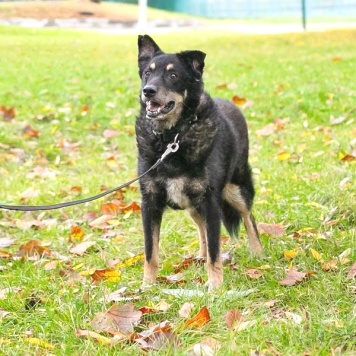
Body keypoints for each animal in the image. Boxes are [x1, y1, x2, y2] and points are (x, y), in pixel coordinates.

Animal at [135, 34, 262, 290]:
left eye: (173, 75)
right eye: (147, 73)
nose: (148, 91)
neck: (172, 138)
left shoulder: (210, 201)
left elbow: (215, 250)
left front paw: (215, 288)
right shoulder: (149, 203)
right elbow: (150, 252)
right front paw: (147, 286)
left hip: (235, 188)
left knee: (248, 217)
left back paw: (258, 253)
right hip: (191, 203)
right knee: (201, 227)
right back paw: (200, 256)